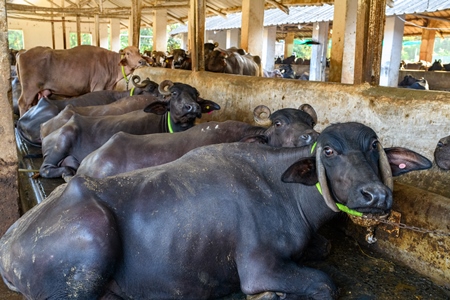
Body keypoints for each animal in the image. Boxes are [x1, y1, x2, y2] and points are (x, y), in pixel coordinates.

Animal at [0, 121, 432, 298]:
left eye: (374, 147)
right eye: (328, 151)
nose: (375, 195)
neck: (285, 190)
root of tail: (9, 239)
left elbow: (323, 248)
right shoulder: (259, 268)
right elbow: (325, 284)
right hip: (91, 240)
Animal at [16, 44, 150, 116]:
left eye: (138, 51)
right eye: (127, 53)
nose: (141, 61)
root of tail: (23, 52)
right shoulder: (97, 86)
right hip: (29, 89)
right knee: (23, 103)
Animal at [38, 79, 220, 178]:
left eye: (195, 95)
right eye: (174, 93)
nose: (193, 107)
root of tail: (46, 129)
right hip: (60, 146)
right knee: (45, 169)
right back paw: (68, 170)